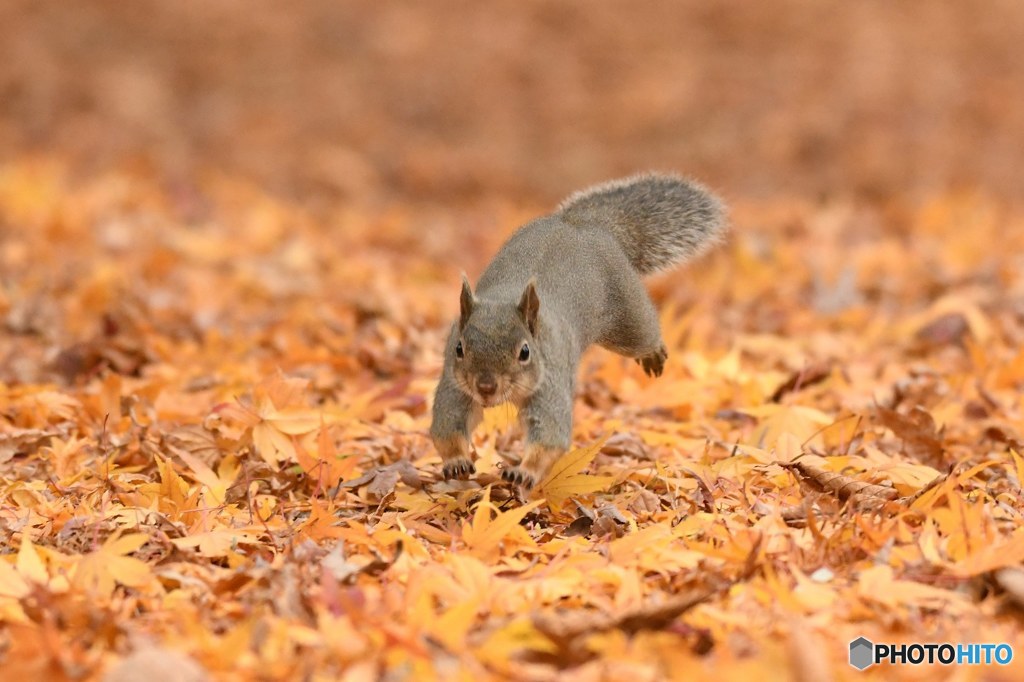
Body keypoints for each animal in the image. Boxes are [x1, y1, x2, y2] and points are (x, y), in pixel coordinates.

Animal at [432, 173, 729, 485]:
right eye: (459, 348)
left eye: (525, 352)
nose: (486, 387)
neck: (502, 301)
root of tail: (583, 223)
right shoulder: (454, 383)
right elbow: (447, 424)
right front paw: (456, 461)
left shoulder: (551, 382)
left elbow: (550, 437)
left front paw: (524, 472)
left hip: (628, 318)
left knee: (643, 333)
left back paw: (653, 353)